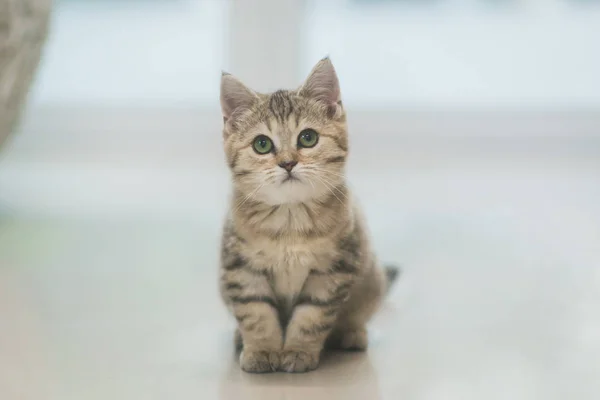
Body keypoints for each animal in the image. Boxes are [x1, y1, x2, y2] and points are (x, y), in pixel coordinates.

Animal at [219, 57, 398, 374]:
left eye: (308, 138)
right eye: (262, 144)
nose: (288, 163)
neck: (290, 221)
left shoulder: (332, 271)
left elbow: (311, 317)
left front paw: (298, 351)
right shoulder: (241, 269)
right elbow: (256, 313)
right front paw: (262, 349)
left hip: (372, 278)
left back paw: (351, 334)